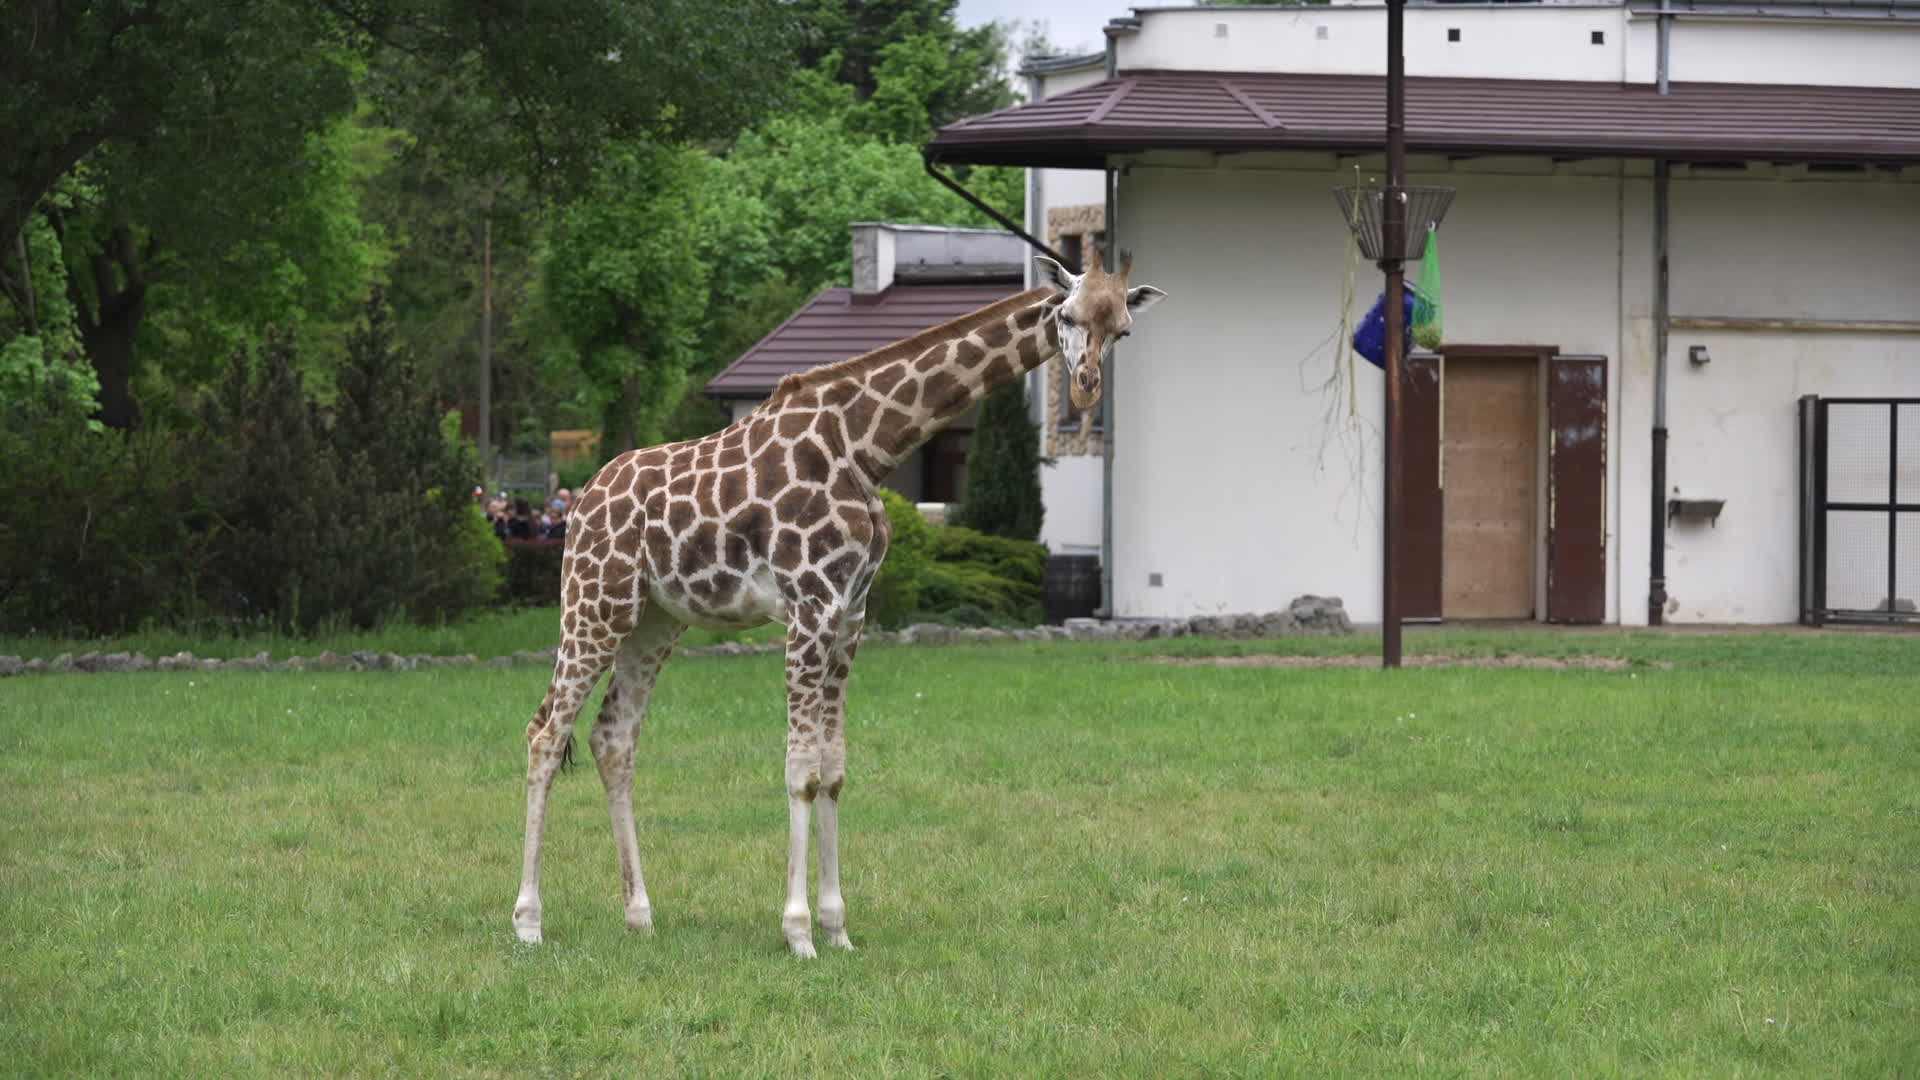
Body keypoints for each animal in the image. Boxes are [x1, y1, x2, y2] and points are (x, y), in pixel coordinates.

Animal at [512, 250, 1166, 956]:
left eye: (1123, 328)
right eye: (1067, 314)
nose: (1085, 388)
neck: (865, 447)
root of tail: (580, 499)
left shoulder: (851, 614)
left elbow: (834, 769)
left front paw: (837, 928)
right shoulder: (810, 607)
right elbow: (801, 769)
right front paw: (798, 932)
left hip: (655, 622)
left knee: (613, 740)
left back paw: (640, 915)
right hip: (593, 602)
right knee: (545, 732)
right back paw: (528, 921)